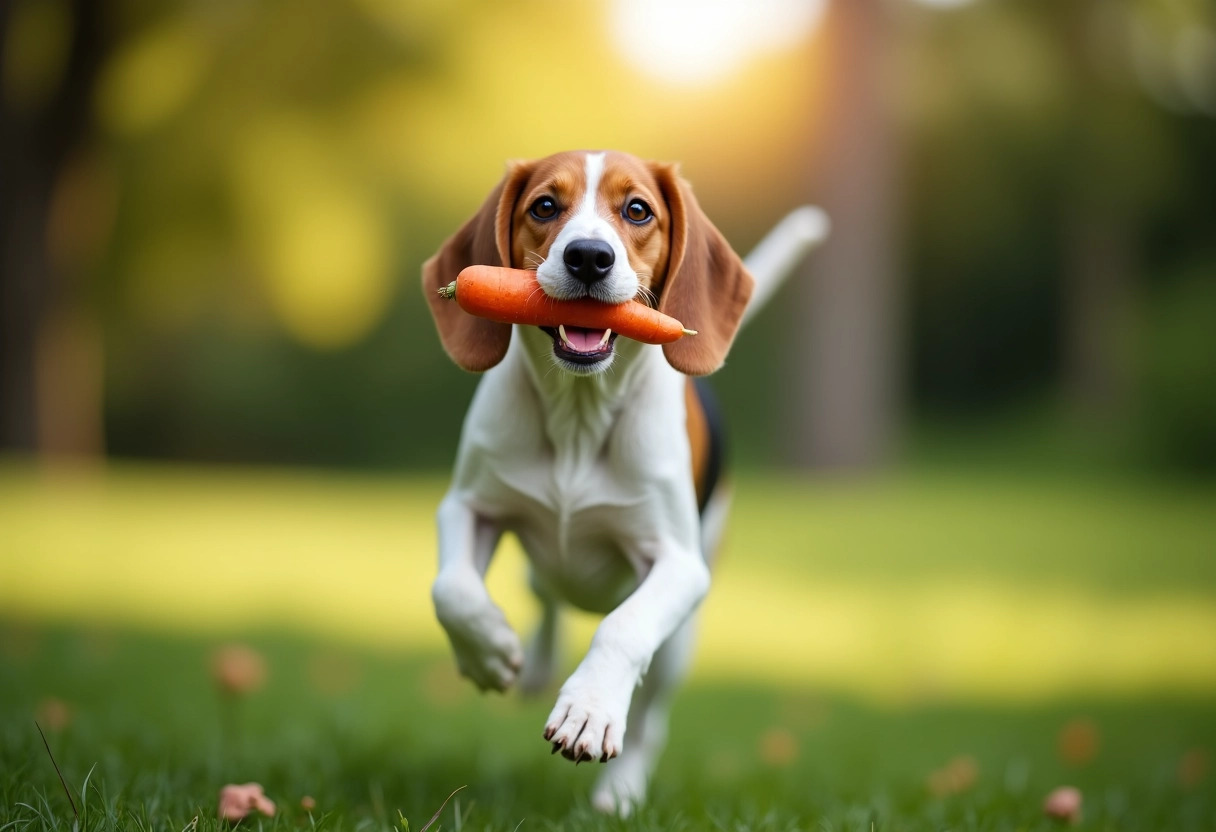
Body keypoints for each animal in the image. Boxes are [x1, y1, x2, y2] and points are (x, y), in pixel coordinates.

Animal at [420, 149, 826, 812]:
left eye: (637, 210)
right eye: (544, 206)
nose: (589, 256)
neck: (578, 416)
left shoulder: (680, 565)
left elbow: (624, 627)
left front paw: (588, 709)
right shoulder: (467, 507)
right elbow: (452, 591)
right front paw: (488, 655)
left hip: (679, 645)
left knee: (649, 719)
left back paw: (621, 793)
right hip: (538, 564)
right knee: (545, 593)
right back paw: (535, 662)